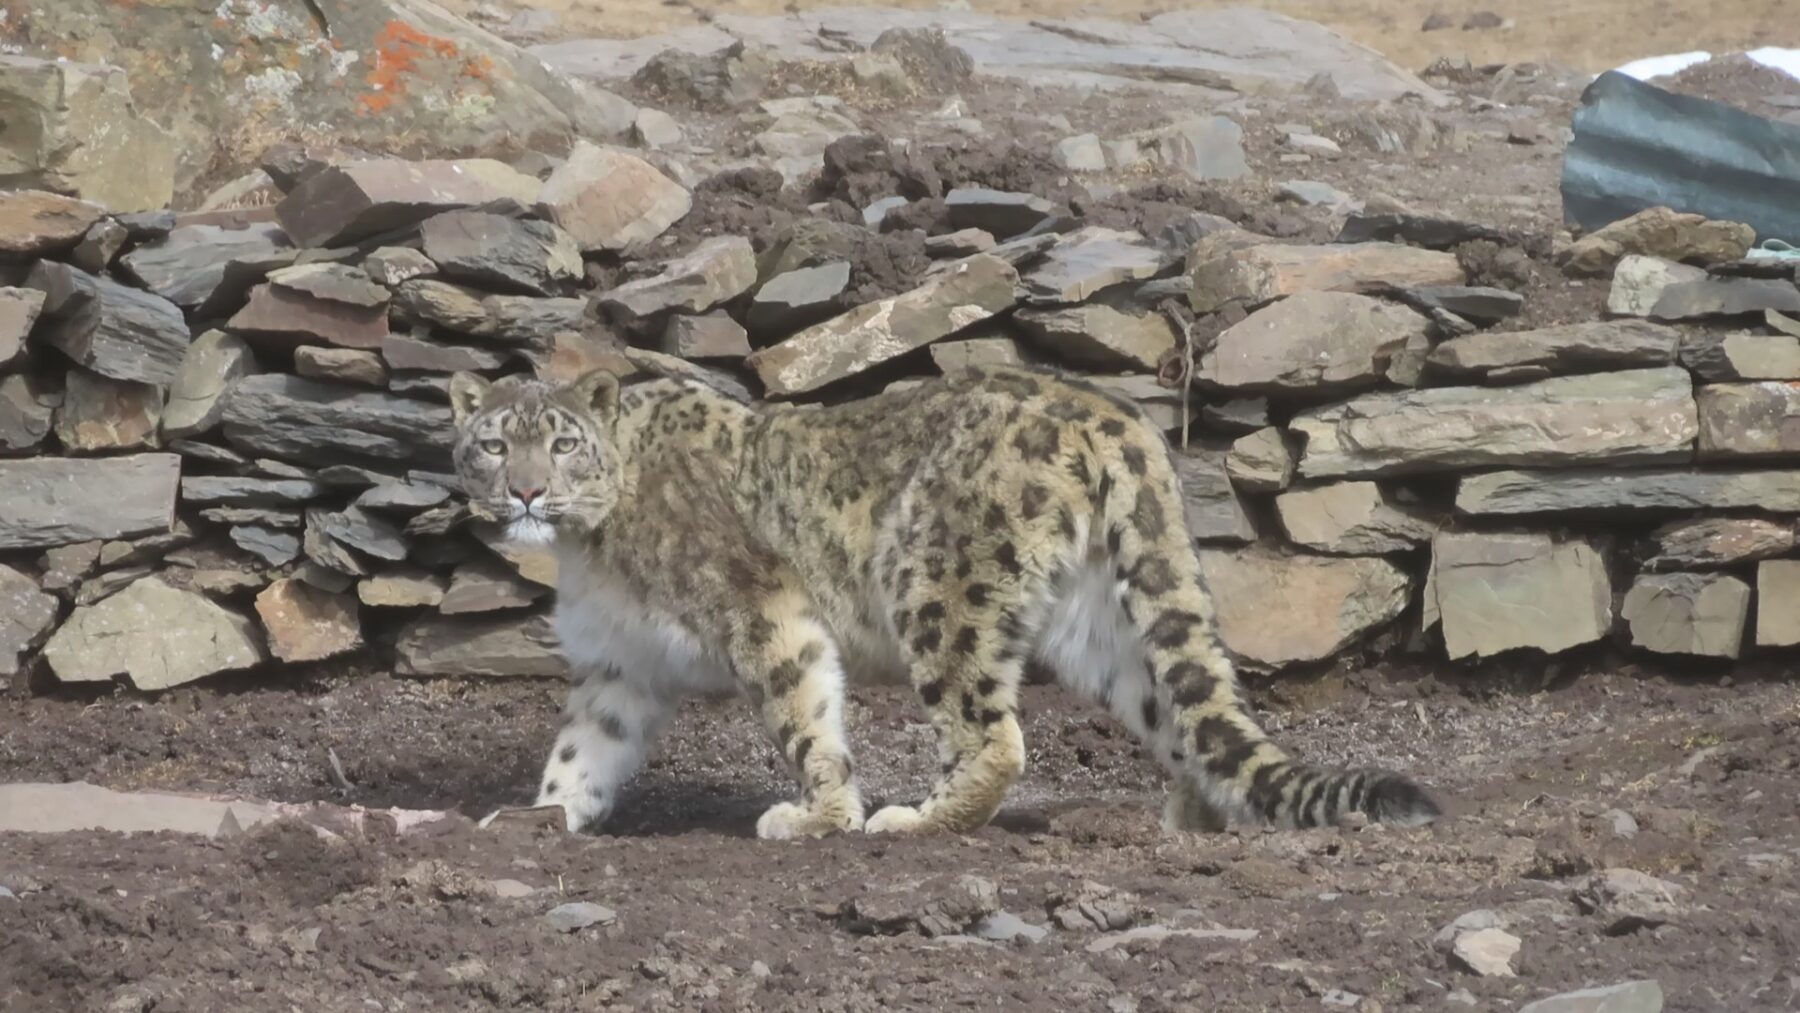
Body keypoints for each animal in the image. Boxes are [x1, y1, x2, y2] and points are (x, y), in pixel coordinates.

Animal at [447, 358, 1443, 840]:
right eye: (493, 443)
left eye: (563, 443)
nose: (527, 491)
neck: (590, 549)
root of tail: (1115, 415)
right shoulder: (619, 664)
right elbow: (582, 750)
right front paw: (537, 818)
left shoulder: (765, 611)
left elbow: (805, 717)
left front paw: (820, 817)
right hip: (1101, 625)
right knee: (1183, 708)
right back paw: (1195, 818)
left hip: (935, 584)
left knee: (993, 735)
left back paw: (915, 820)